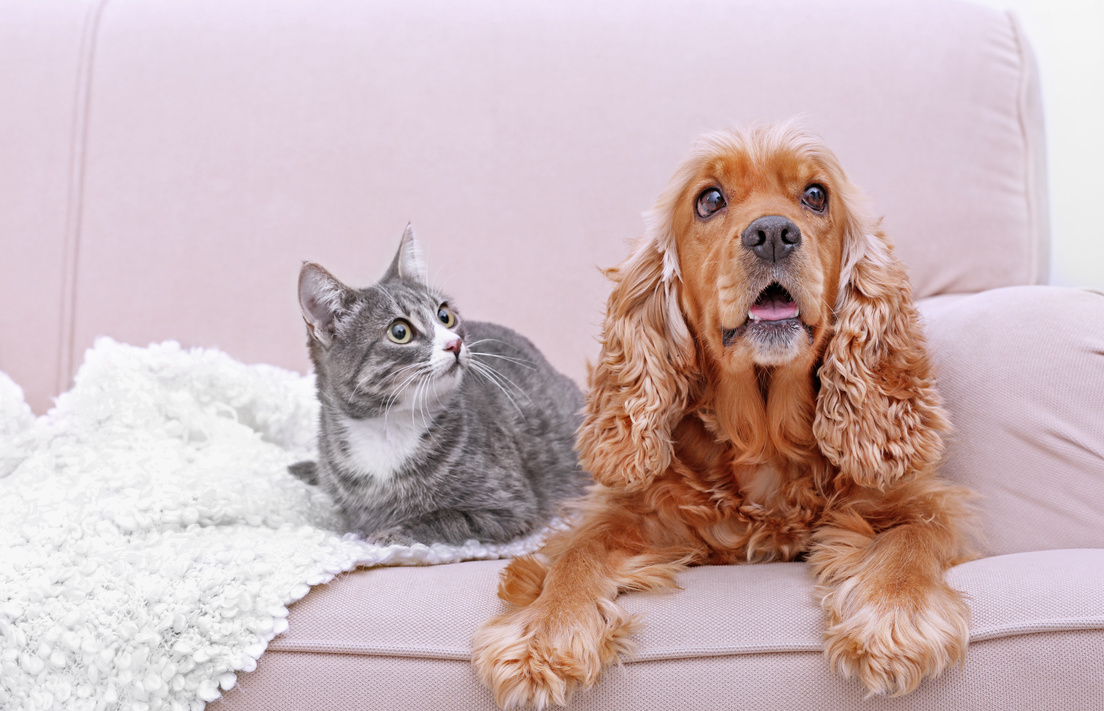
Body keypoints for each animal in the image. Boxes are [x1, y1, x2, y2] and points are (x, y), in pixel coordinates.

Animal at [289, 225, 591, 547]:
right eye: (399, 332)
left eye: (445, 316)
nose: (454, 343)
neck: (387, 427)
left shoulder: (509, 505)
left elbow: (443, 519)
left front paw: (389, 533)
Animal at [470, 124, 971, 706]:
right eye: (709, 200)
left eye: (815, 195)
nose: (773, 232)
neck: (763, 437)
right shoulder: (635, 512)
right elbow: (578, 552)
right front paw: (546, 633)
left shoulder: (925, 500)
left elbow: (913, 536)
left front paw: (894, 618)